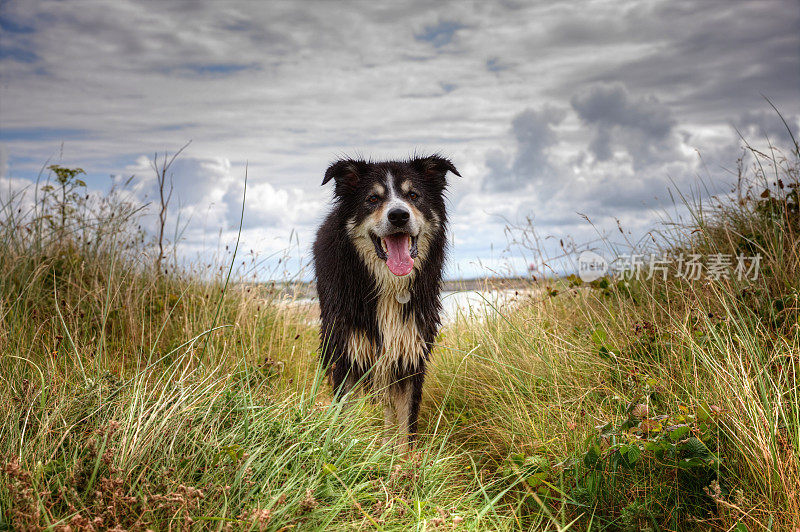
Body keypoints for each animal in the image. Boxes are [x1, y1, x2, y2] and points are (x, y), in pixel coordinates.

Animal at [314, 154, 460, 454]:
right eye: (372, 198)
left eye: (413, 195)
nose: (399, 215)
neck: (389, 285)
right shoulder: (348, 353)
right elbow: (347, 415)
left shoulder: (410, 352)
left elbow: (404, 425)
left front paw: (401, 462)